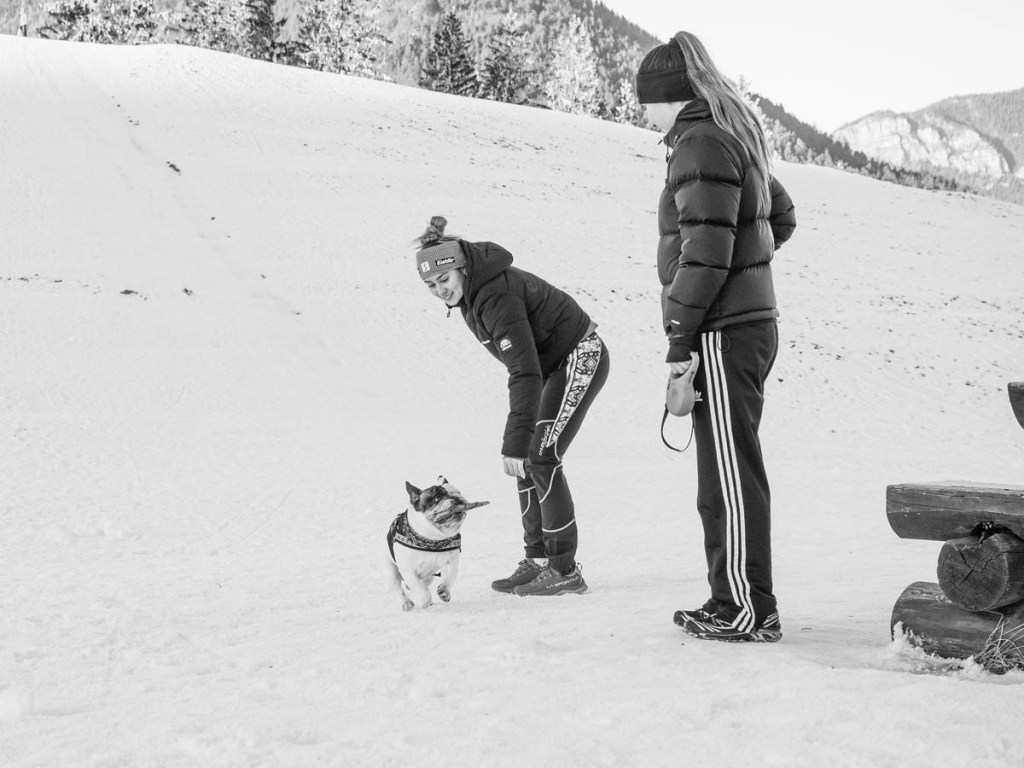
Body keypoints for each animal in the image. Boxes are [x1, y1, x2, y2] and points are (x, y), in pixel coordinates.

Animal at [386, 477, 489, 611]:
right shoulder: (408, 570)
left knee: (423, 583)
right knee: (400, 589)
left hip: (429, 576)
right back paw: (406, 603)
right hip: (391, 571)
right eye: (437, 498)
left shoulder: (452, 561)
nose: (456, 498)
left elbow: (450, 576)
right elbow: (420, 589)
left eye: (458, 493)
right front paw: (425, 601)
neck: (433, 538)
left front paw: (445, 591)